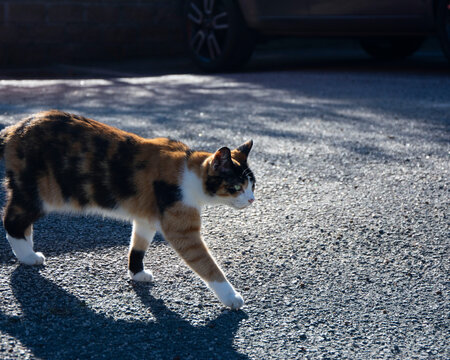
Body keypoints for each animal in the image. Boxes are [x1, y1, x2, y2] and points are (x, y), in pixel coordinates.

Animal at [0, 110, 255, 310]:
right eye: (236, 188)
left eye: (252, 185)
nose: (252, 199)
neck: (189, 171)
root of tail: (15, 128)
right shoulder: (182, 230)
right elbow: (207, 264)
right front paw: (231, 297)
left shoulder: (146, 219)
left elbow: (138, 246)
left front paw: (137, 273)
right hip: (37, 193)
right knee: (11, 221)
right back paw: (28, 256)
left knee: (21, 222)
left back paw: (26, 250)